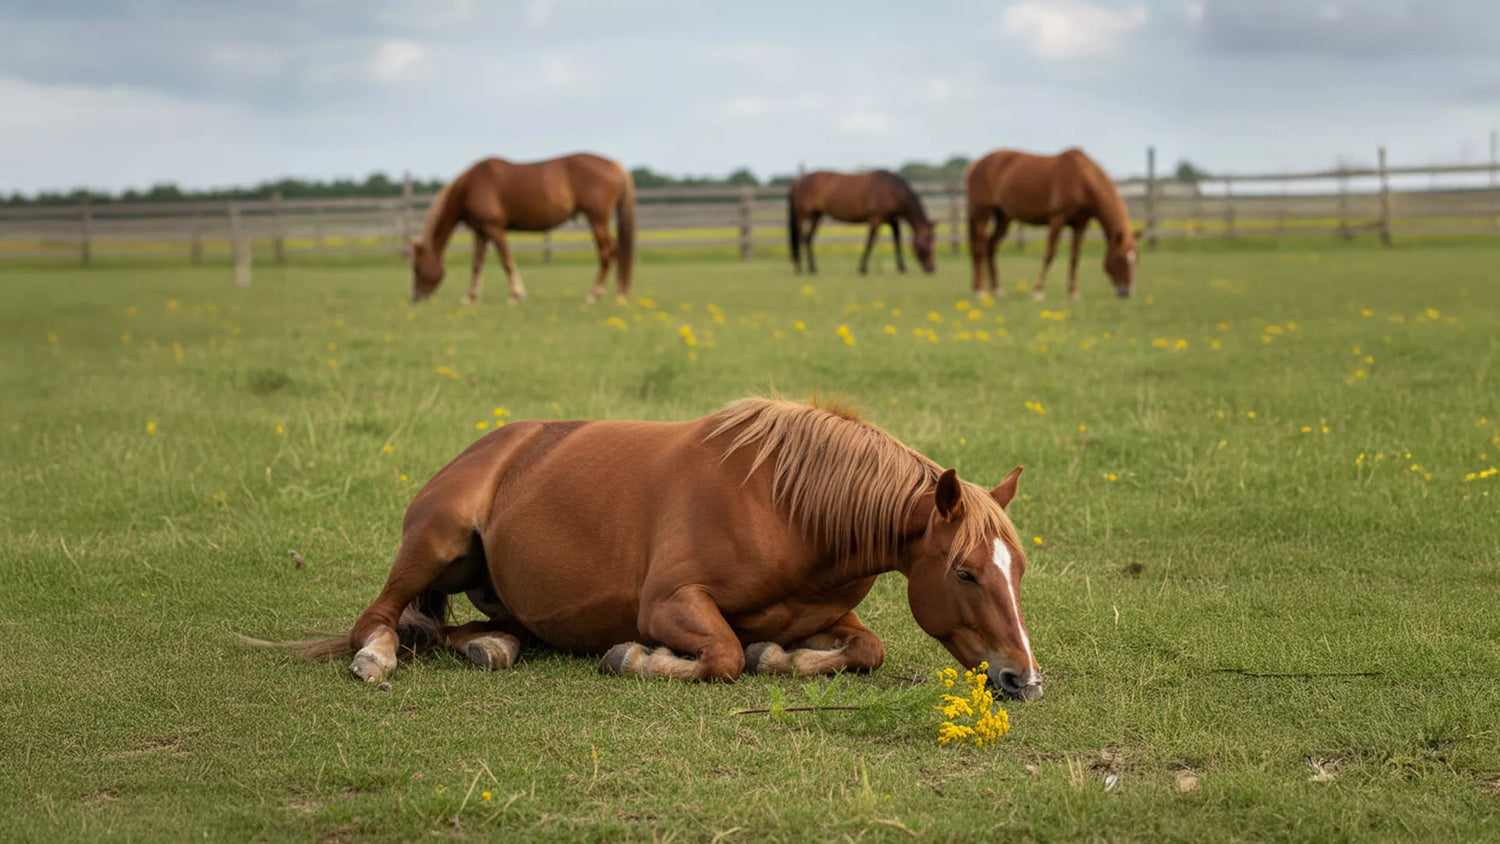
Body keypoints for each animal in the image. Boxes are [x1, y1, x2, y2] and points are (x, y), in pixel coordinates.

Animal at [246, 398, 1044, 700]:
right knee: (380, 618)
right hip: (435, 539)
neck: (788, 510)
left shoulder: (827, 615)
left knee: (452, 630)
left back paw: (491, 647)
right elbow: (723, 656)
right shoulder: (669, 604)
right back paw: (375, 659)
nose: (1024, 680)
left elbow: (865, 647)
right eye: (965, 572)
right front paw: (632, 657)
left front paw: (781, 656)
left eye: (1019, 571)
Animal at [408, 153, 635, 305]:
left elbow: (506, 261)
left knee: (607, 251)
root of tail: (615, 166)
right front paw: (470, 298)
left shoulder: (494, 229)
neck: (469, 187)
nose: (416, 298)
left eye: (417, 267)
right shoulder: (481, 233)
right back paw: (620, 293)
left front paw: (515, 295)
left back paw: (594, 295)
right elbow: (477, 265)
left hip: (596, 219)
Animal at [788, 171, 936, 276]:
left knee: (807, 239)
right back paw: (799, 269)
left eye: (933, 241)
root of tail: (797, 182)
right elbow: (870, 242)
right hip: (802, 216)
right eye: (927, 243)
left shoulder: (891, 220)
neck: (891, 190)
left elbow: (897, 239)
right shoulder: (876, 219)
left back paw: (812, 268)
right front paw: (862, 268)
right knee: (798, 239)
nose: (932, 269)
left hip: (816, 216)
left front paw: (902, 267)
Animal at [966, 148, 1140, 301]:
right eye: (1120, 258)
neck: (1081, 180)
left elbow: (1075, 257)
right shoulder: (1057, 218)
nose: (1126, 292)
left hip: (1003, 217)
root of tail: (976, 164)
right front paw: (1038, 292)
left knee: (990, 246)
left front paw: (1073, 293)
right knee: (979, 248)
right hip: (981, 213)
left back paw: (997, 290)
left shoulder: (1080, 225)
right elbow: (1050, 254)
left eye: (1136, 260)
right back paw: (980, 291)